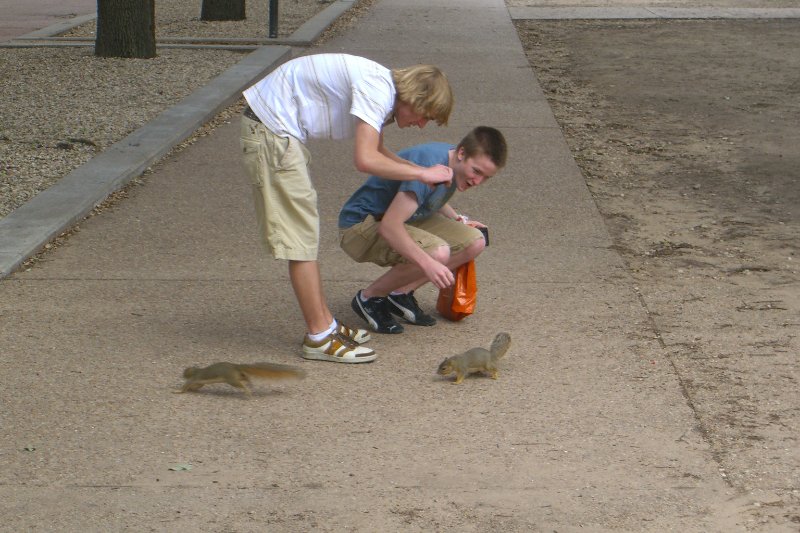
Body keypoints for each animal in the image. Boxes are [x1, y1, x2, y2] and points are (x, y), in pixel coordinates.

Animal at [174, 362, 305, 397]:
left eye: (185, 373)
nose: (182, 375)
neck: (197, 370)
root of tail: (235, 366)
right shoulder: (197, 380)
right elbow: (197, 385)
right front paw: (193, 389)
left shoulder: (194, 378)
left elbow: (186, 386)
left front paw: (178, 391)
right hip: (236, 376)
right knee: (245, 377)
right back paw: (250, 384)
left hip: (231, 379)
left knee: (240, 384)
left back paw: (247, 391)